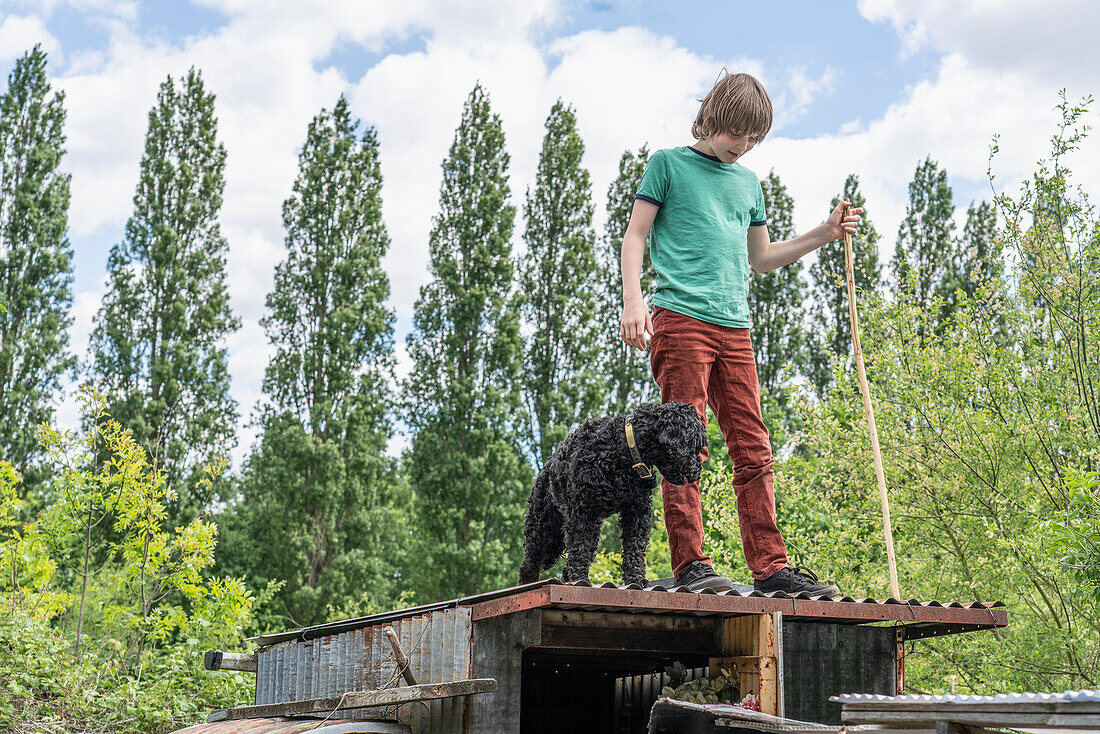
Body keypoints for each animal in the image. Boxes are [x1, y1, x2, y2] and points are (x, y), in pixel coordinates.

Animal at [521, 402, 708, 585]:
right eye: (696, 446)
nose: (699, 471)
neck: (623, 449)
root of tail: (546, 467)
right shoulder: (580, 512)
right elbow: (579, 546)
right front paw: (580, 578)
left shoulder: (637, 511)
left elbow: (634, 548)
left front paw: (636, 579)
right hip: (542, 527)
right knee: (529, 562)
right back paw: (527, 583)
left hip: (591, 529)